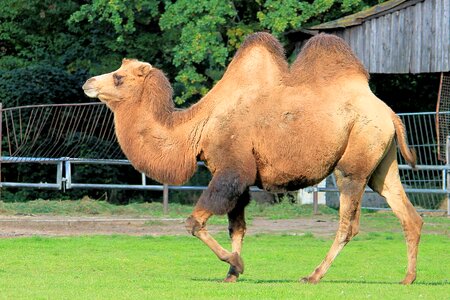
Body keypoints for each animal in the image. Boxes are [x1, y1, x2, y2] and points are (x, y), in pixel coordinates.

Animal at [82, 32, 424, 284]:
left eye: (119, 77)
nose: (88, 82)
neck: (198, 127)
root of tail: (390, 113)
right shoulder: (240, 179)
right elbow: (237, 227)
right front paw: (231, 274)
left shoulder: (232, 171)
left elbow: (194, 222)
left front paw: (236, 262)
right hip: (381, 161)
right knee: (407, 213)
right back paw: (407, 278)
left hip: (353, 160)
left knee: (348, 223)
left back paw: (313, 276)